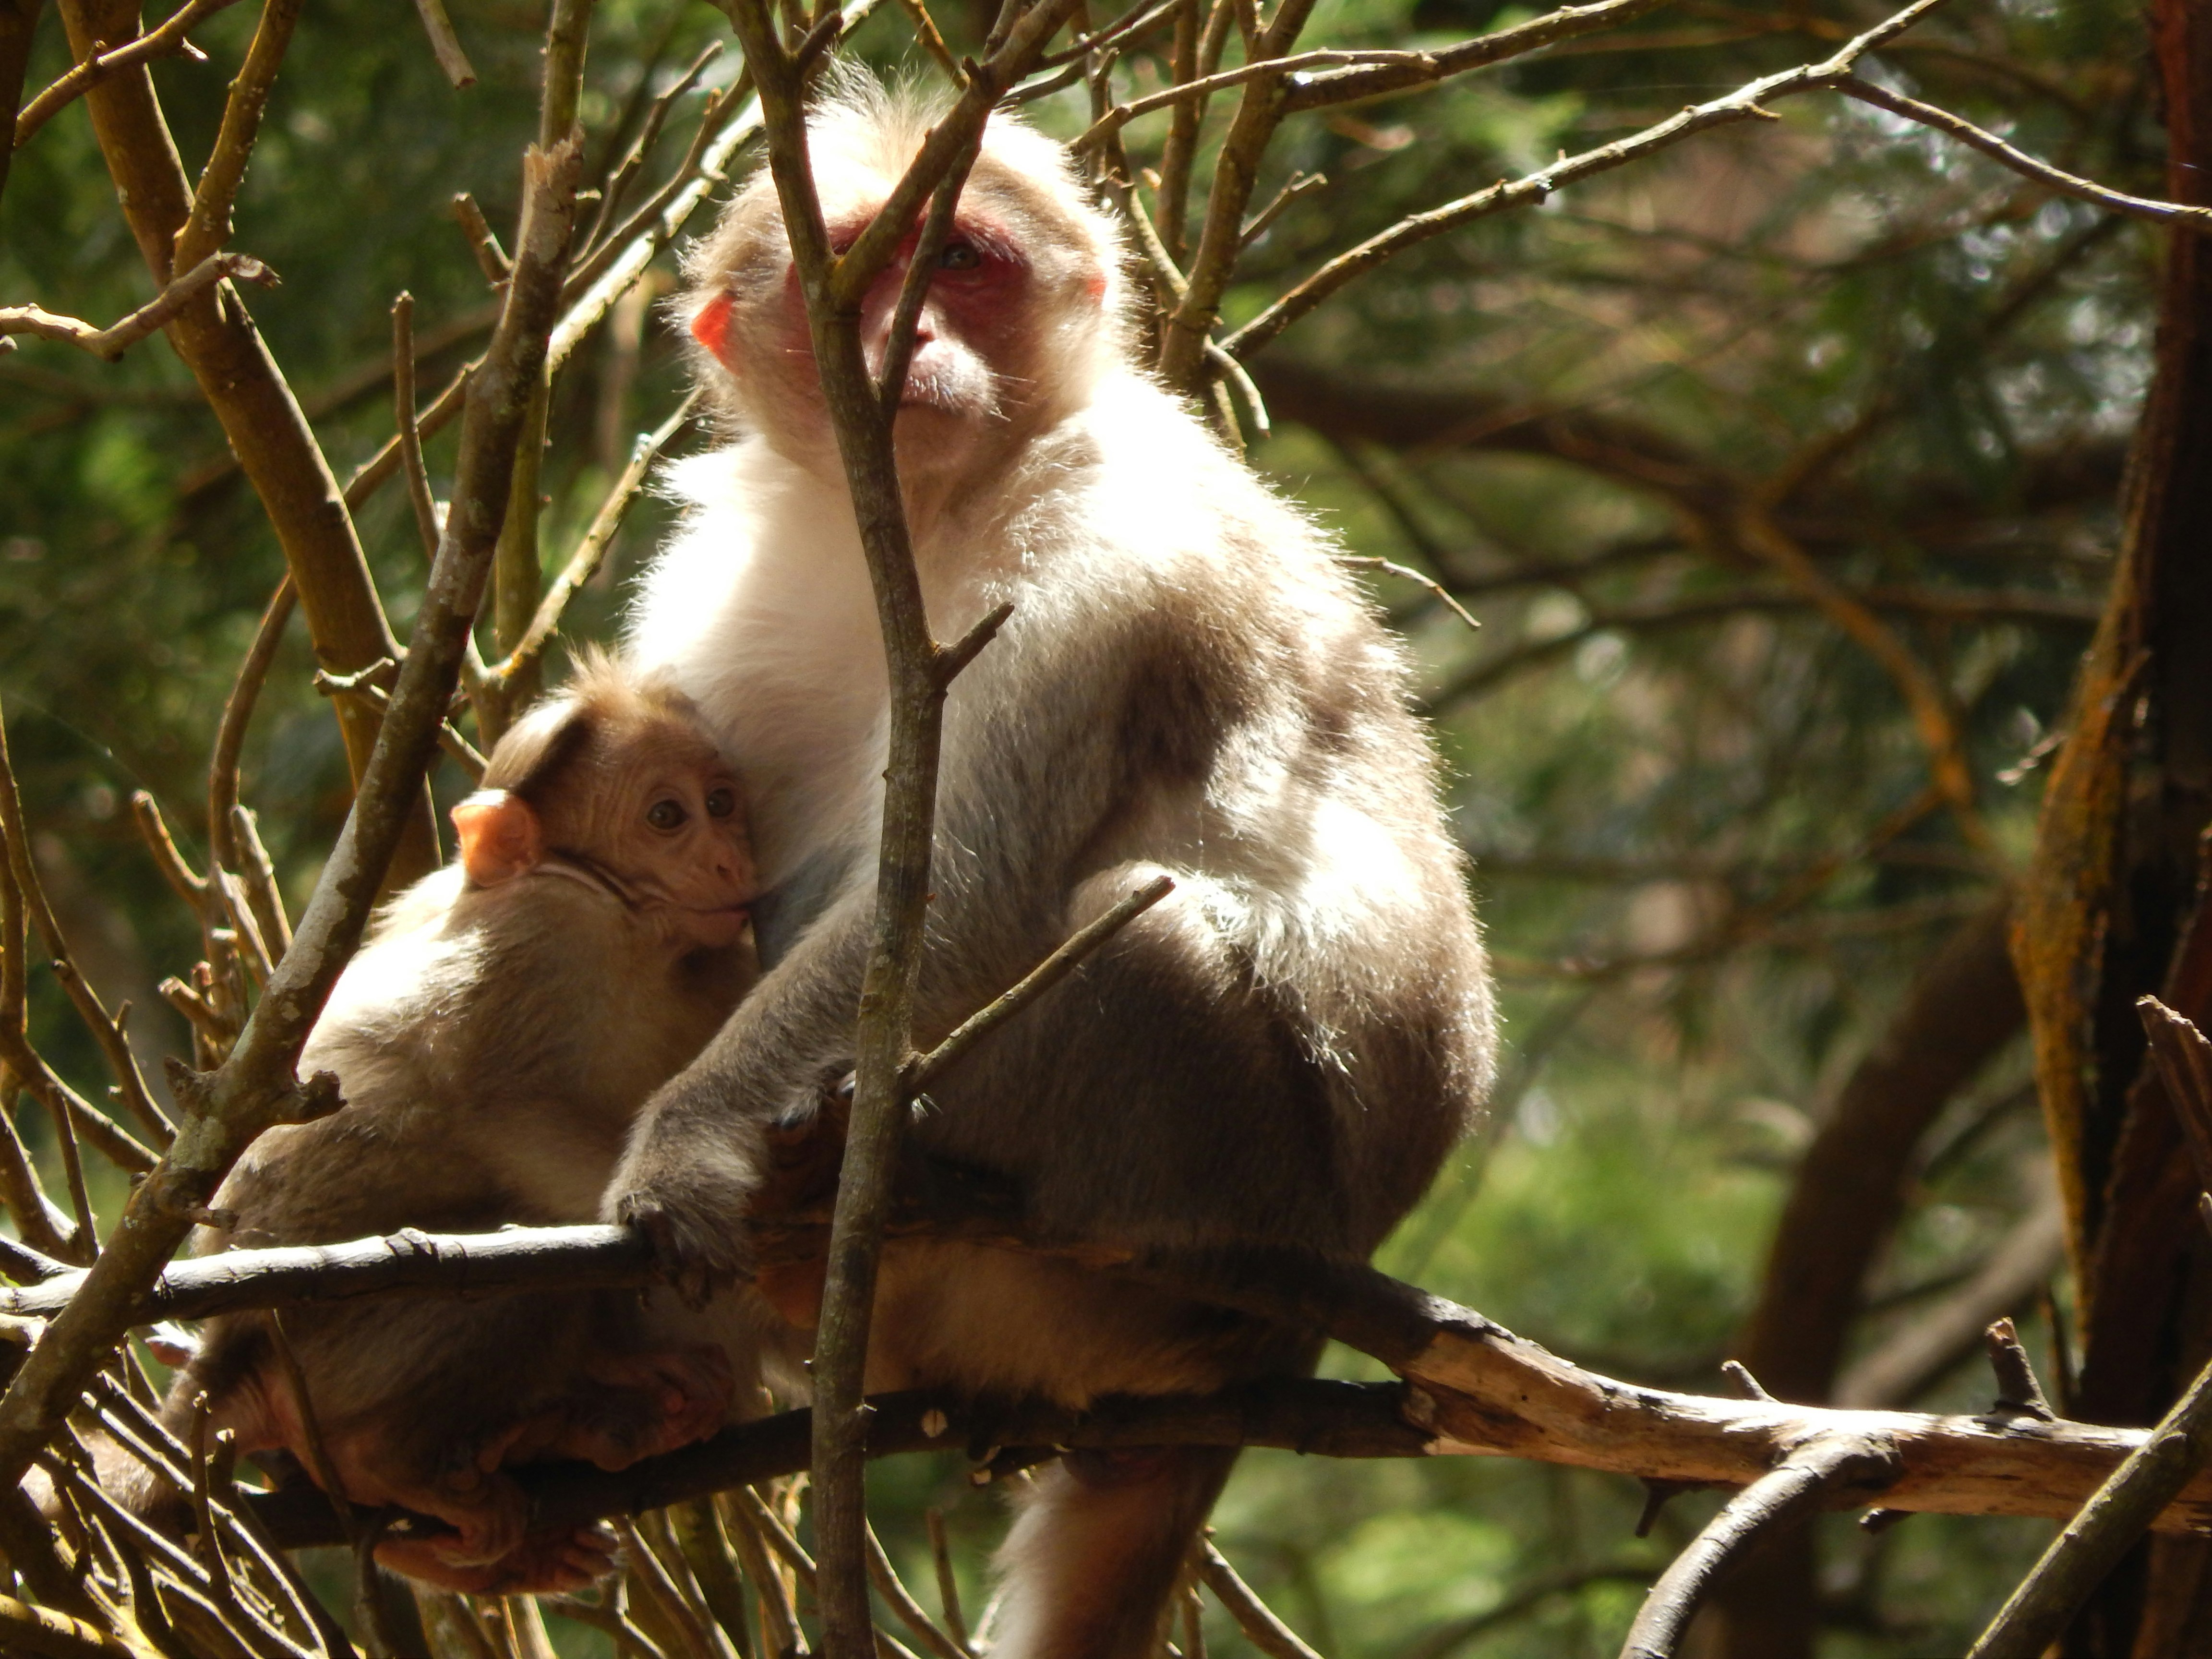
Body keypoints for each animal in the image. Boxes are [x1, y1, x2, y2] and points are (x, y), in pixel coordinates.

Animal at [141, 656, 763, 1595]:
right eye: (667, 817)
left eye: (721, 800)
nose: (733, 855)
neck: (631, 924)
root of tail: (232, 1352)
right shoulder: (546, 937)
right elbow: (500, 1106)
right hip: (340, 1354)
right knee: (510, 1264)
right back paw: (395, 1456)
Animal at [612, 79, 1496, 1659]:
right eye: (866, 266)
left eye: (962, 262)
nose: (913, 344)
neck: (914, 519)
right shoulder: (722, 581)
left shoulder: (1100, 554)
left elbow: (967, 897)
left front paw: (687, 1142)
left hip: (1222, 1196)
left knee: (1132, 939)